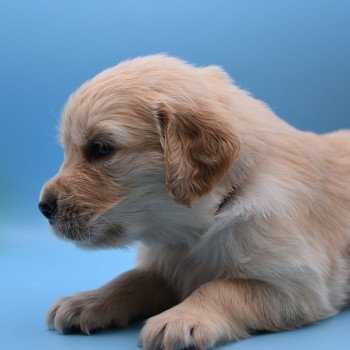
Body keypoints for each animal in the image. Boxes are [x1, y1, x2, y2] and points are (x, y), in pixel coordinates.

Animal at [39, 55, 350, 350]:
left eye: (102, 148)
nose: (43, 207)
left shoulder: (296, 285)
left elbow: (222, 288)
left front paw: (181, 318)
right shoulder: (167, 267)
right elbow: (131, 279)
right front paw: (87, 301)